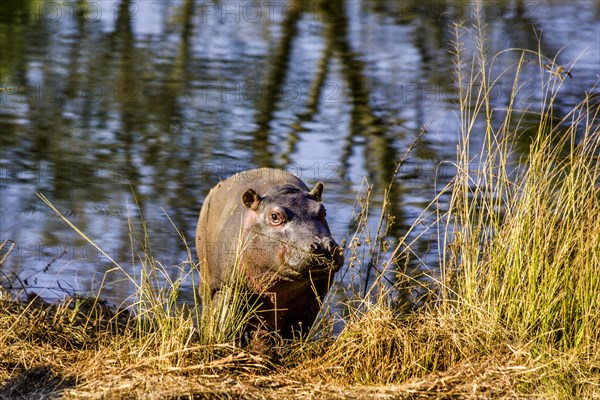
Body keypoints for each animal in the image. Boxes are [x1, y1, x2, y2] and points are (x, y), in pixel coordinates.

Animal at [197, 167, 344, 340]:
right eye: (274, 216)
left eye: (322, 211)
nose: (323, 247)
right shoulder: (226, 287)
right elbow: (224, 324)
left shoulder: (312, 299)